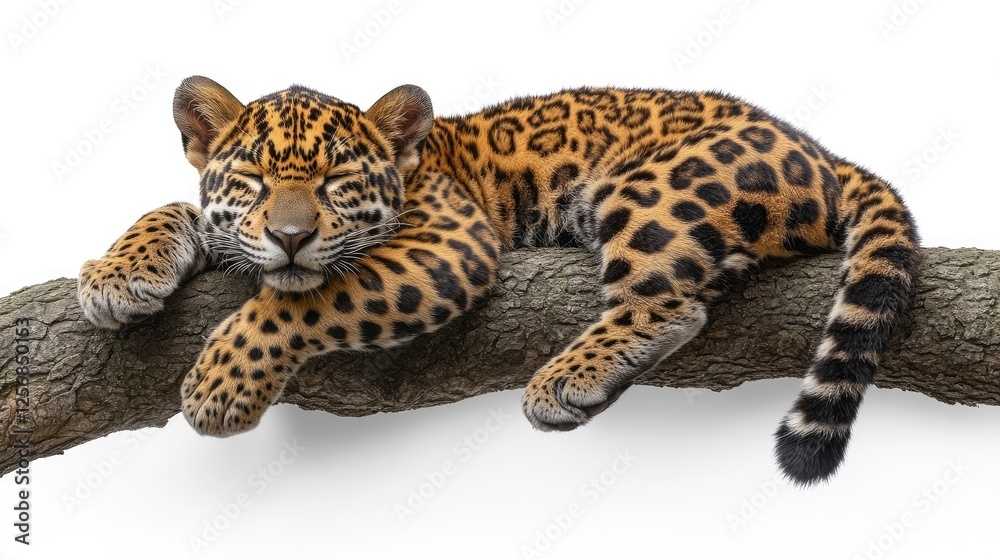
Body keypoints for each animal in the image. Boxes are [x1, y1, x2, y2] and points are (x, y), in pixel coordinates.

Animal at [77, 76, 920, 485]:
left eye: (339, 181)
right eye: (252, 179)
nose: (290, 238)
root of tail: (819, 150)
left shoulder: (445, 243)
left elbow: (306, 302)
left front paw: (220, 385)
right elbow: (176, 209)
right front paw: (118, 275)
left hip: (654, 187)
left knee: (671, 302)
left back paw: (563, 378)